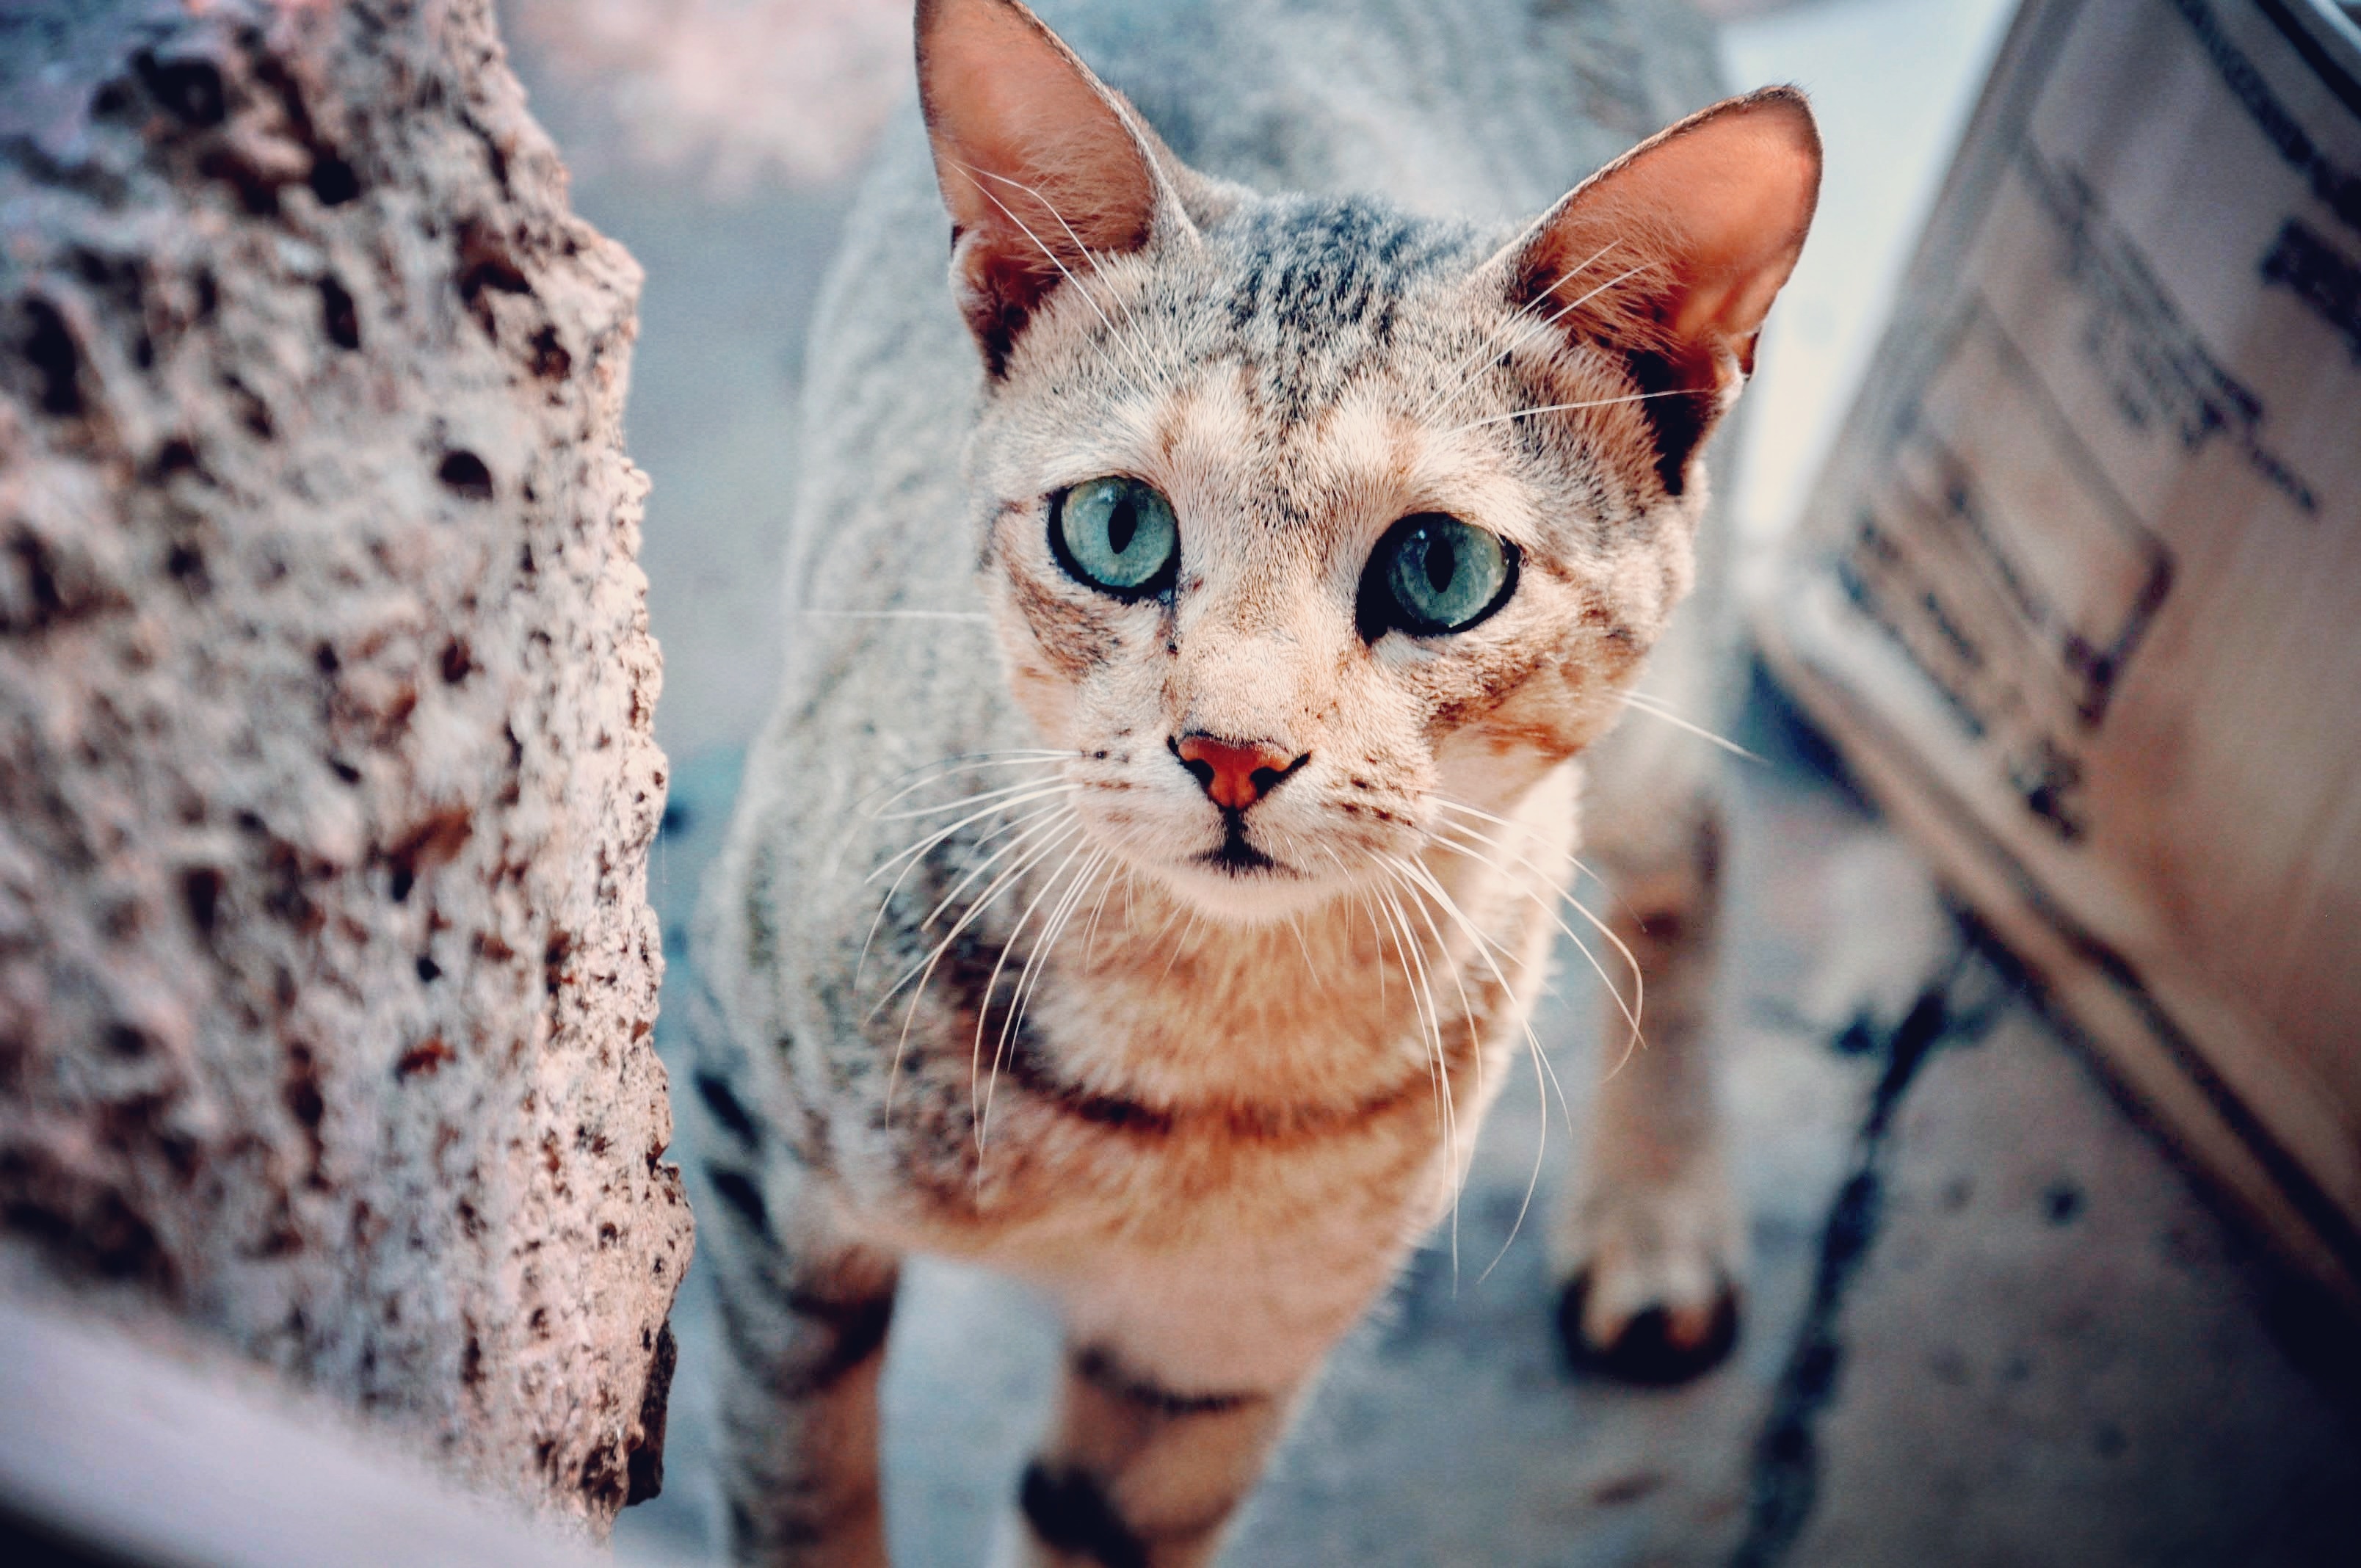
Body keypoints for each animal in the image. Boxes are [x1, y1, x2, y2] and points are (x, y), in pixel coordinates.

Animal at [684, 3, 1822, 1558]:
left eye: (1441, 567)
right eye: (1117, 527)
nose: (1232, 749)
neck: (1193, 1046)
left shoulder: (1220, 1352)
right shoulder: (761, 1159)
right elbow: (800, 1489)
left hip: (1655, 750)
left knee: (1696, 840)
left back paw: (1658, 1217)